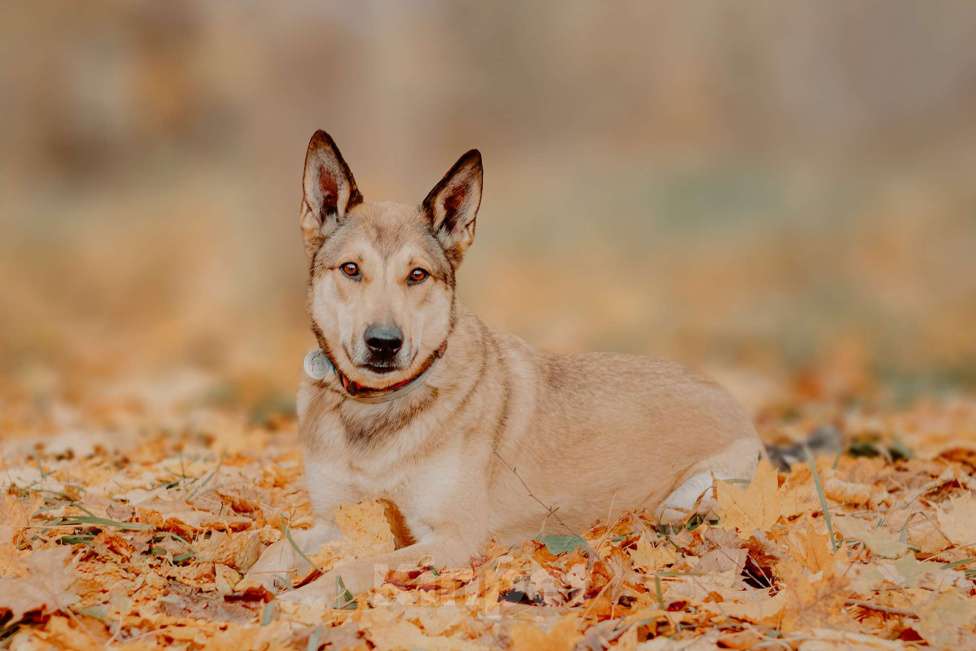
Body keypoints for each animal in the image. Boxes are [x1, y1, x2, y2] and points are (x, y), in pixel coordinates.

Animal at [248, 130, 768, 604]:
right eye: (351, 269)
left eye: (417, 275)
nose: (383, 343)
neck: (378, 408)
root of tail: (731, 399)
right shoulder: (332, 519)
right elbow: (278, 549)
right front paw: (250, 586)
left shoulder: (452, 538)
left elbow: (358, 566)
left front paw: (300, 600)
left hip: (687, 500)